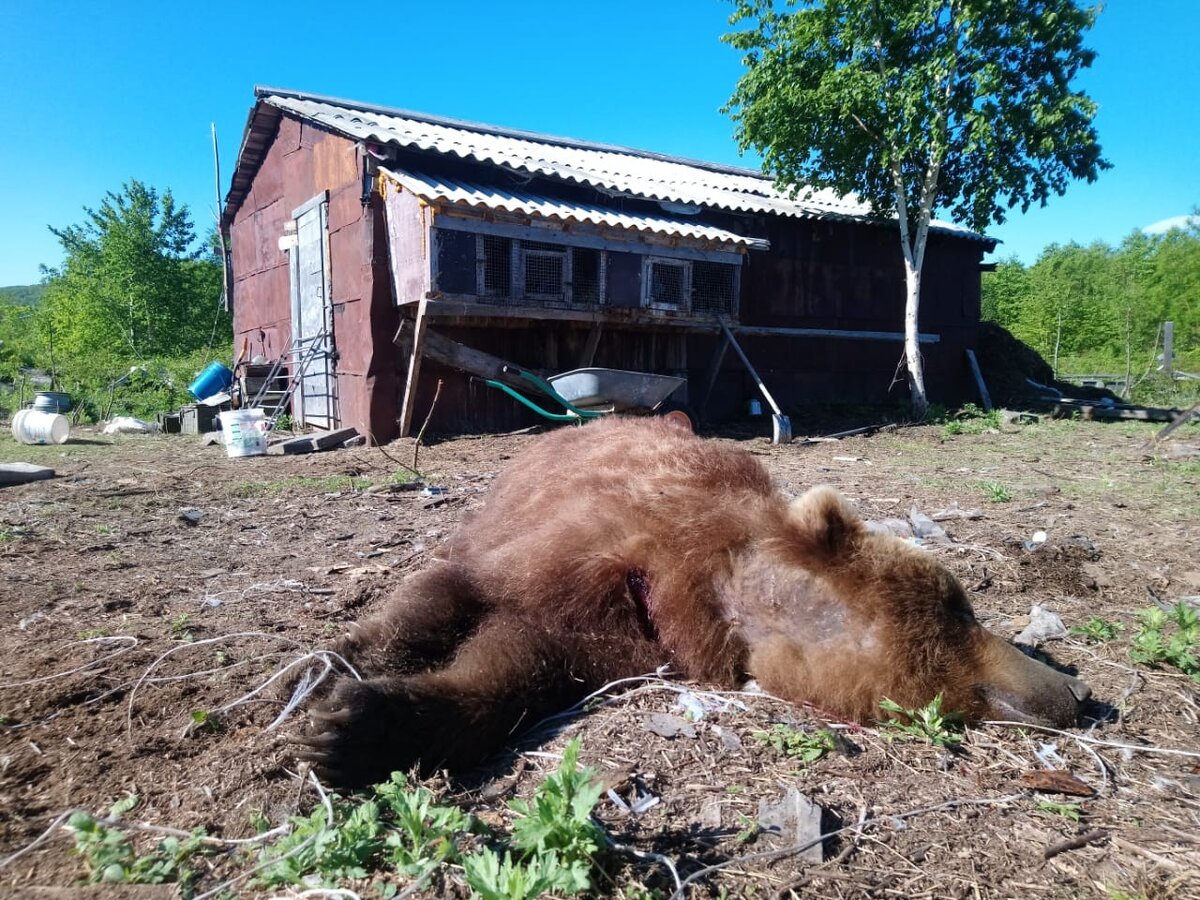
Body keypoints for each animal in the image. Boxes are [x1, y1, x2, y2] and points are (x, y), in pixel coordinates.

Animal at [300, 420, 1089, 787]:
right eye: (961, 605)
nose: (1074, 695)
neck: (709, 590)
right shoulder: (584, 544)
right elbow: (447, 592)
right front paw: (326, 687)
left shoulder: (615, 640)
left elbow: (512, 667)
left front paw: (358, 725)